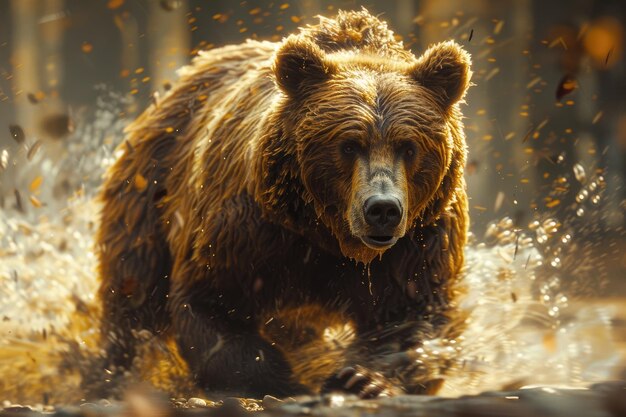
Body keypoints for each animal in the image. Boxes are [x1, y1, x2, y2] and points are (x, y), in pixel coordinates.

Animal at [94, 8, 468, 396]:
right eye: (349, 145)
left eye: (408, 147)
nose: (382, 209)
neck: (326, 236)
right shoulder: (250, 229)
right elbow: (211, 303)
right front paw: (292, 378)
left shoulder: (420, 237)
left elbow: (414, 314)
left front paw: (363, 379)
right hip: (149, 191)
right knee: (133, 292)